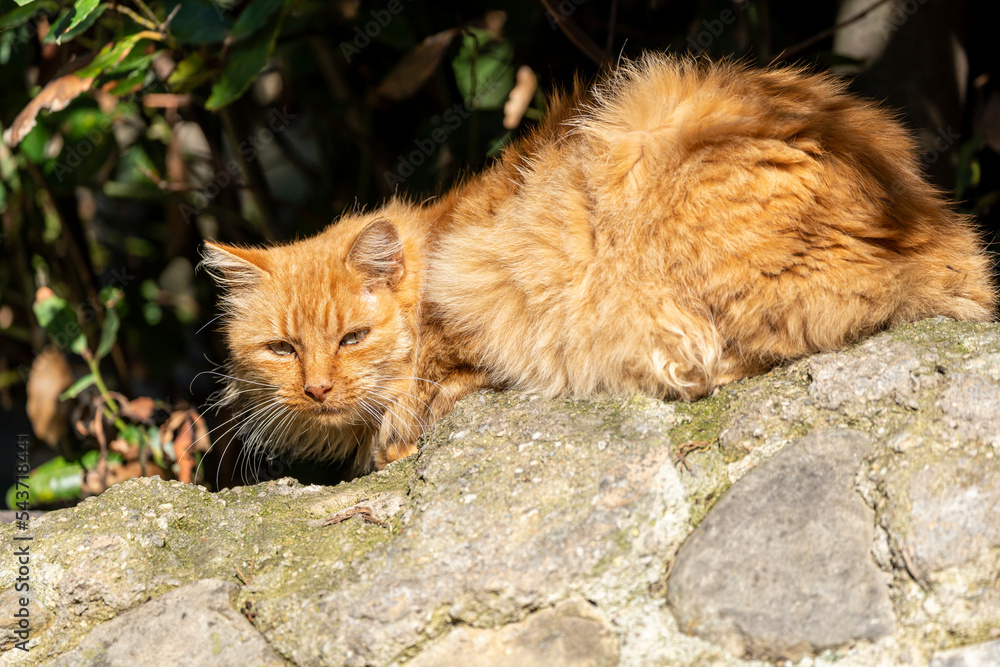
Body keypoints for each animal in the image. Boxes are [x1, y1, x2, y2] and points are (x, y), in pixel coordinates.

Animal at [199, 56, 996, 474]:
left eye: (352, 338)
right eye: (282, 349)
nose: (317, 388)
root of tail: (923, 222)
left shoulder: (481, 300)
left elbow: (431, 398)